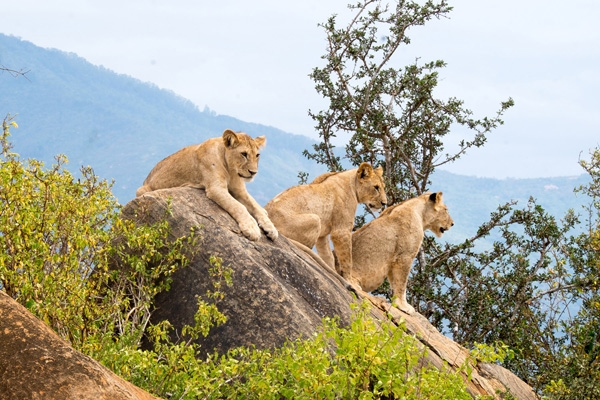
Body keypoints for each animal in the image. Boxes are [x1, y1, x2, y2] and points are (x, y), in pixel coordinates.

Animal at [135, 129, 276, 241]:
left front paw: (271, 228)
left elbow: (254, 206)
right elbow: (239, 206)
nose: (253, 172)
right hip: (141, 190)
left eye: (257, 155)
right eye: (244, 154)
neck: (231, 170)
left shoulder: (239, 190)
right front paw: (252, 229)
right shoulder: (215, 188)